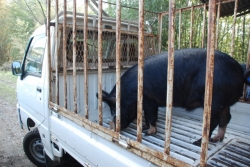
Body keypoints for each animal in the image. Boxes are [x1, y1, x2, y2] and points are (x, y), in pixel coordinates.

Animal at [96, 48, 250, 145]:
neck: (131, 91)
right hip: (224, 102)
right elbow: (146, 116)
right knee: (226, 118)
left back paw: (197, 142)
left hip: (215, 100)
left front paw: (148, 133)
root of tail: (240, 71)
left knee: (213, 121)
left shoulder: (150, 101)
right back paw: (217, 139)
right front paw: (145, 127)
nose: (111, 125)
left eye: (115, 110)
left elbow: (151, 116)